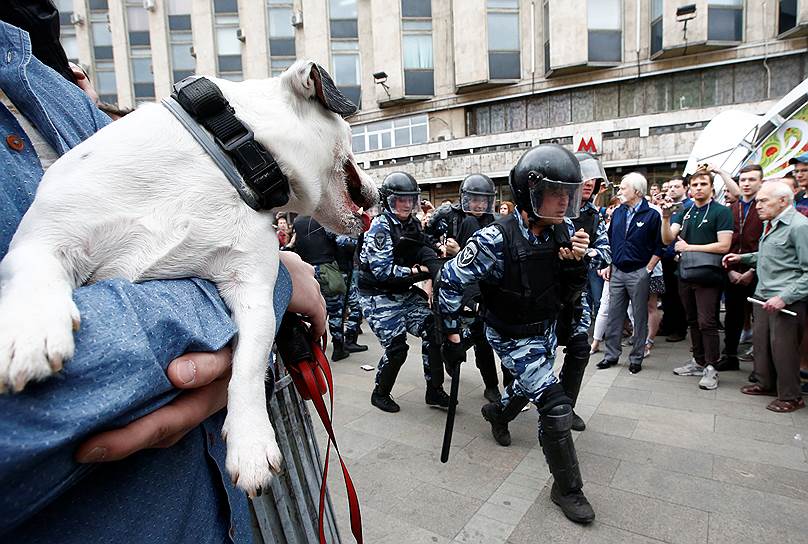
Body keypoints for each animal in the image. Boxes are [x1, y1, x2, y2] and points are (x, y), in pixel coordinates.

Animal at [0, 61, 378, 496]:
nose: (379, 189)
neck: (234, 150)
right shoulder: (44, 238)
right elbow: (35, 272)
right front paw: (30, 329)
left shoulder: (252, 288)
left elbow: (247, 365)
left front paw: (250, 443)